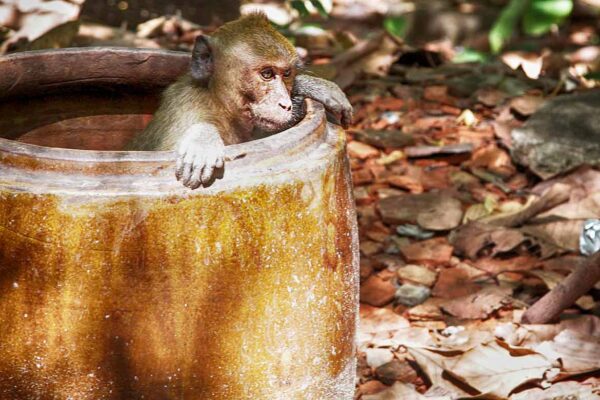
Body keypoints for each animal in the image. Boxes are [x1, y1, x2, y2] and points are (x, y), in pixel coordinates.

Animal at [125, 13, 352, 189]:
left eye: (287, 74)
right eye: (267, 74)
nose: (285, 104)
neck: (220, 104)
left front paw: (312, 86)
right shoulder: (189, 110)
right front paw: (202, 138)